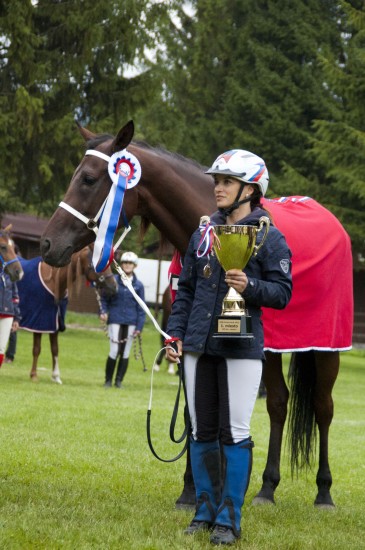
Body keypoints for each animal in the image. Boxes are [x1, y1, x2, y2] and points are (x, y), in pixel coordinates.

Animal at [18, 246, 116, 384]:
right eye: (99, 263)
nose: (114, 287)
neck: (54, 281)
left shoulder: (55, 322)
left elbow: (55, 349)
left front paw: (56, 376)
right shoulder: (39, 322)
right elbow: (37, 349)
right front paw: (34, 375)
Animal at [41, 121, 352, 508]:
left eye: (88, 178)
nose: (47, 244)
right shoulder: (188, 340)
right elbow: (194, 413)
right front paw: (193, 490)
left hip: (324, 350)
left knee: (323, 408)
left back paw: (323, 491)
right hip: (274, 352)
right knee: (279, 404)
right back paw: (267, 487)